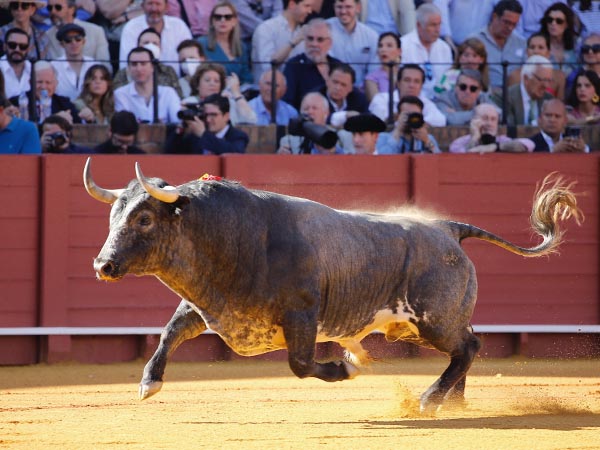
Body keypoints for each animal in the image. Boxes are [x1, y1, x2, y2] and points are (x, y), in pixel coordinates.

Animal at [84, 156, 580, 414]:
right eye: (113, 216)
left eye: (144, 219)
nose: (103, 264)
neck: (234, 235)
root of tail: (447, 228)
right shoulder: (208, 309)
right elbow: (167, 334)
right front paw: (149, 383)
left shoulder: (301, 315)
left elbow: (301, 364)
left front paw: (348, 367)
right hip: (428, 325)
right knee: (467, 347)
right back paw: (451, 402)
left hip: (432, 321)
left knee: (469, 347)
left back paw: (429, 399)